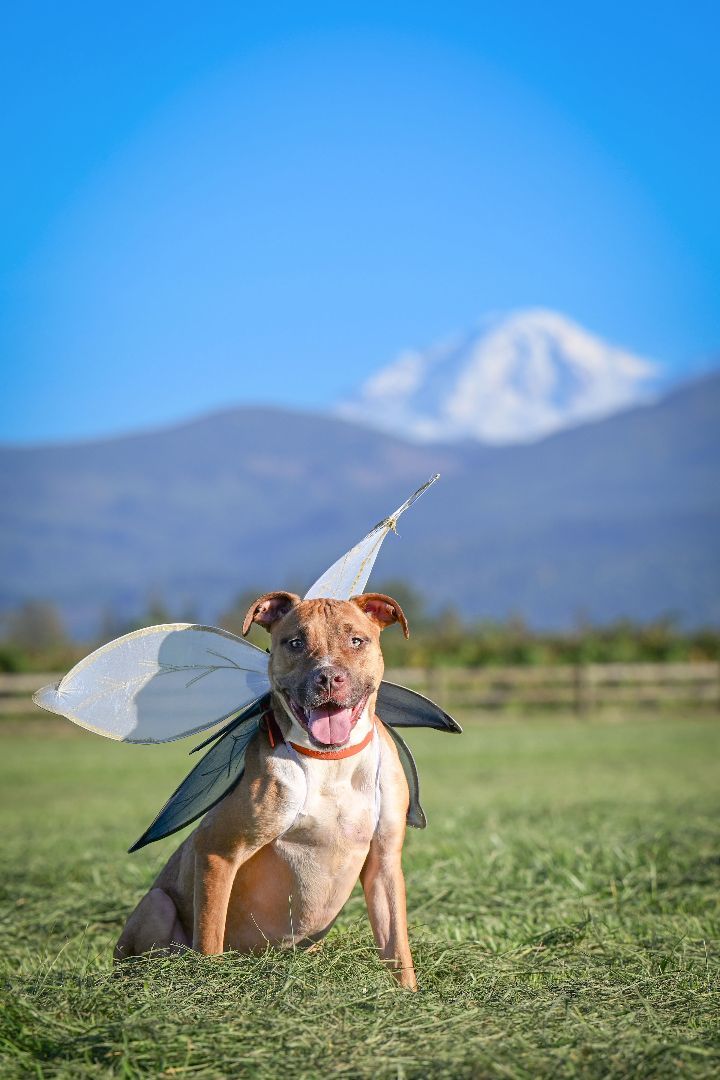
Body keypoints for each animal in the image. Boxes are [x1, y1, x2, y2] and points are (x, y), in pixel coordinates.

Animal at [116, 591, 418, 989]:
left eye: (356, 640)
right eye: (295, 643)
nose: (328, 677)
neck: (330, 760)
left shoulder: (384, 860)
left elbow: (397, 946)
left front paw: (409, 995)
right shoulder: (217, 849)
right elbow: (209, 937)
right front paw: (209, 985)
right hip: (157, 905)